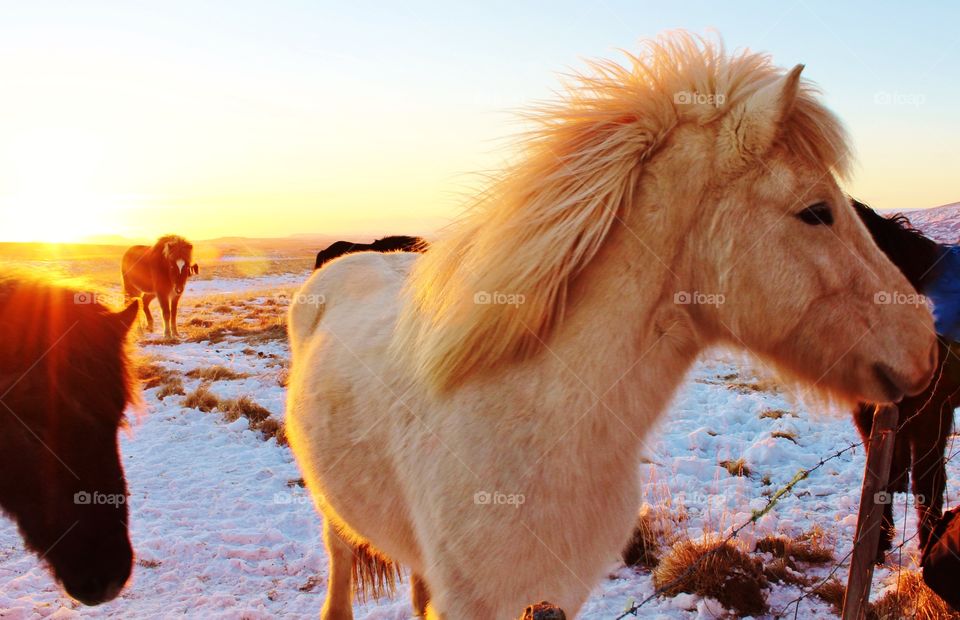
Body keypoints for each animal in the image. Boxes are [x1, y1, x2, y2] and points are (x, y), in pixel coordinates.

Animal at [856, 200, 960, 560]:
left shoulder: (933, 414)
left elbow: (927, 483)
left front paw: (930, 546)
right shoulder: (870, 414)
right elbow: (881, 480)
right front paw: (877, 545)